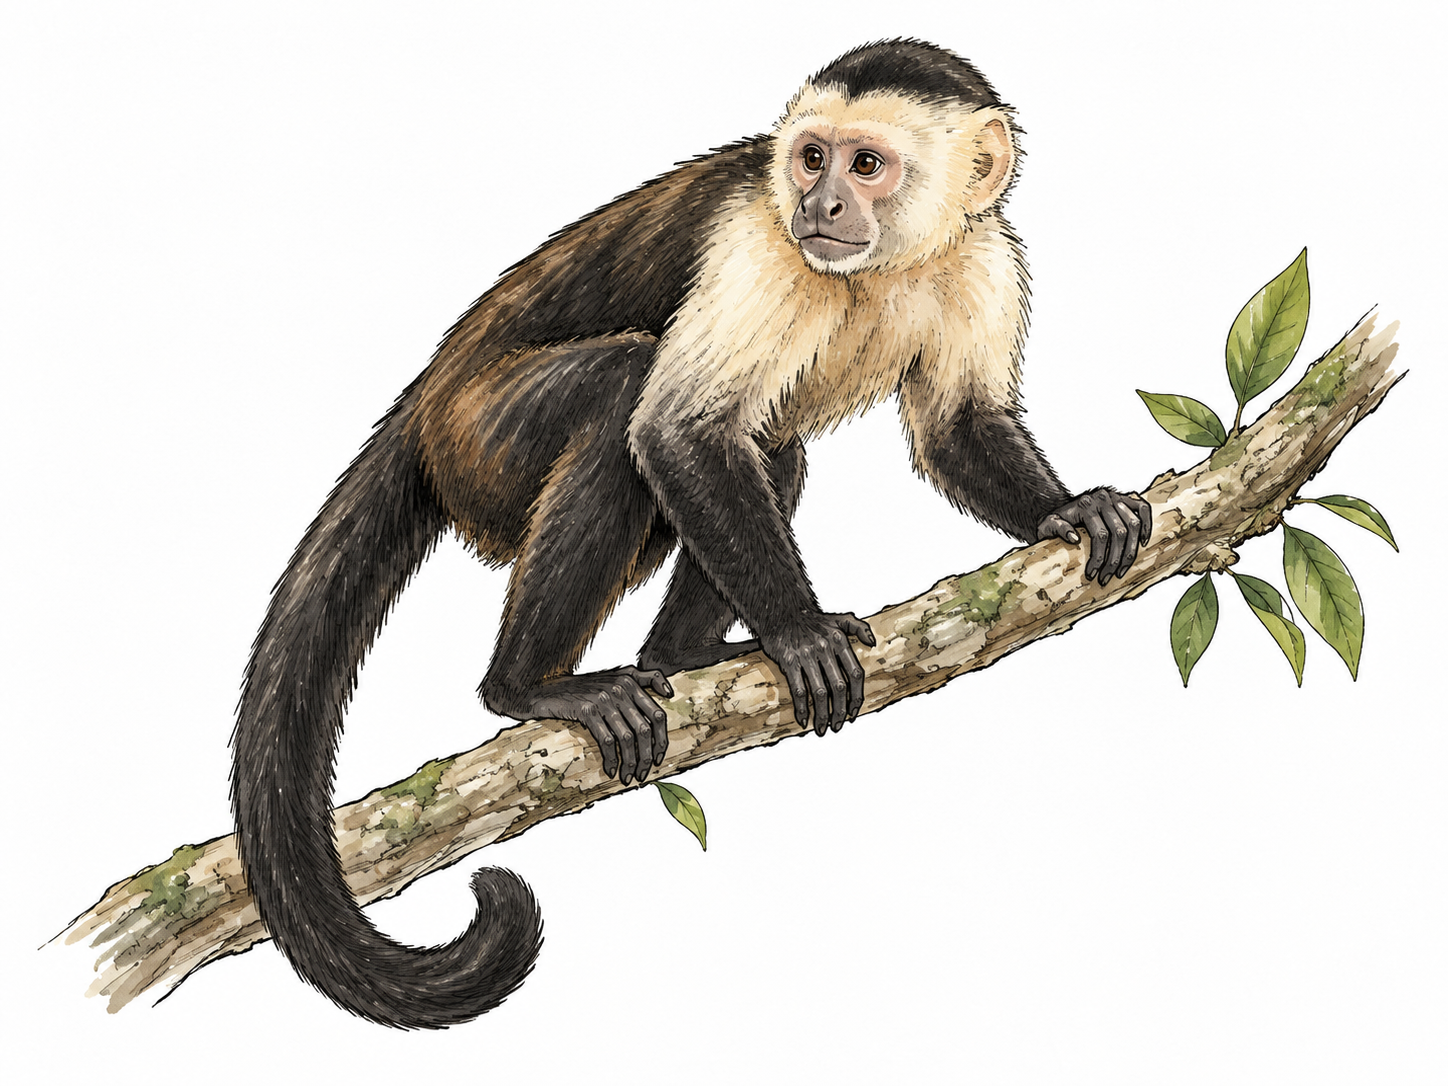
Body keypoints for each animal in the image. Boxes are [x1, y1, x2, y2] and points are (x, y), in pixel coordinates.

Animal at [231, 39, 1153, 1029]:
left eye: (866, 165)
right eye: (812, 159)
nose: (822, 205)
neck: (885, 265)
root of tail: (427, 396)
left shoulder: (985, 259)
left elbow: (957, 429)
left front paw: (1066, 511)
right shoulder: (754, 243)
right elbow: (679, 433)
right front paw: (799, 632)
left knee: (773, 451)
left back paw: (677, 657)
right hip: (479, 444)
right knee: (624, 398)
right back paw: (528, 687)